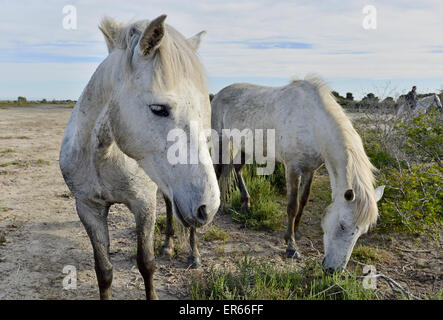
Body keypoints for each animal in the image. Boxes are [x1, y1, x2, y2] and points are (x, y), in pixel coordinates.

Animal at [59, 15, 219, 300]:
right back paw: (168, 245)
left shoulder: (143, 204)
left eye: (204, 110)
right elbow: (104, 271)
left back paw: (194, 255)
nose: (209, 206)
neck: (102, 157)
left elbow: (146, 263)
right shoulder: (88, 207)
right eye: (158, 108)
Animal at [212, 77, 386, 272]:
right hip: (220, 139)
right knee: (218, 169)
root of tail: (220, 93)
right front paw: (291, 246)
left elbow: (303, 201)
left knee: (237, 168)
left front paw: (296, 231)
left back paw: (245, 205)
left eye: (362, 231)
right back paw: (218, 208)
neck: (313, 122)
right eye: (342, 225)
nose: (333, 271)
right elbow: (292, 206)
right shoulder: (293, 168)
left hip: (246, 146)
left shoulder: (310, 169)